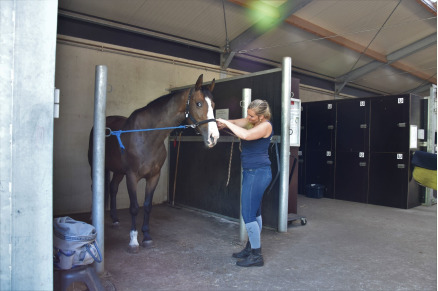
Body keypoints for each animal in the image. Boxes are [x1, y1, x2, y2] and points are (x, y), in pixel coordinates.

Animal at [89, 74, 219, 253]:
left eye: (213, 105)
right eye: (199, 103)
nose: (214, 137)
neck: (147, 136)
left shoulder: (153, 177)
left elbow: (147, 205)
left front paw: (147, 237)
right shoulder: (132, 176)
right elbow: (134, 207)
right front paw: (133, 241)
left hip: (119, 171)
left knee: (113, 188)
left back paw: (115, 219)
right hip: (96, 166)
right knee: (95, 188)